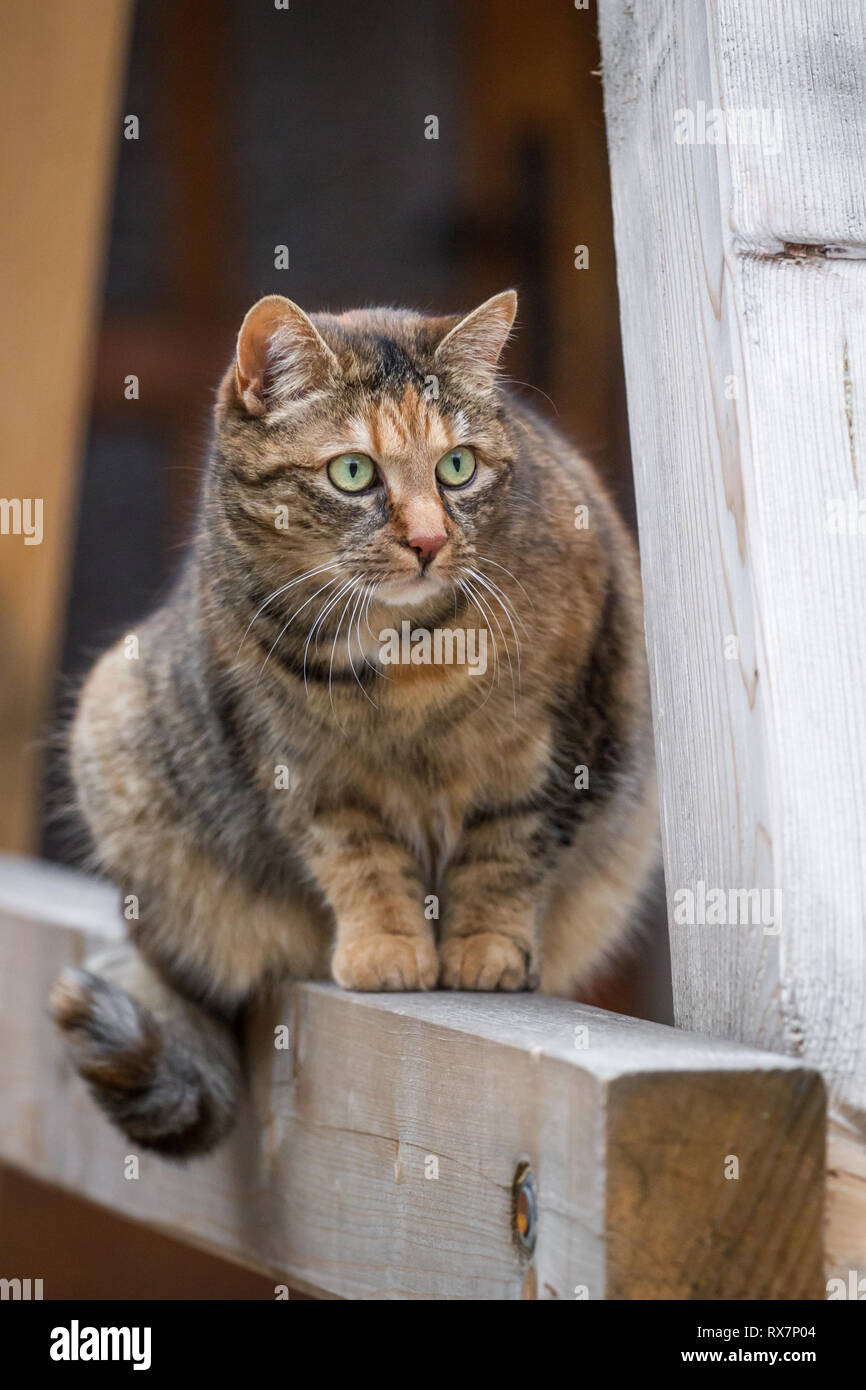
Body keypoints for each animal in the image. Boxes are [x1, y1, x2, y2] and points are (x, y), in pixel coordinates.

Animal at [48, 287, 656, 1156]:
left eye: (458, 466)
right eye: (353, 472)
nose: (430, 540)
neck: (405, 656)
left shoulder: (558, 740)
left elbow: (506, 852)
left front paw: (483, 949)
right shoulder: (303, 769)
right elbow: (359, 858)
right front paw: (390, 947)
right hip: (117, 723)